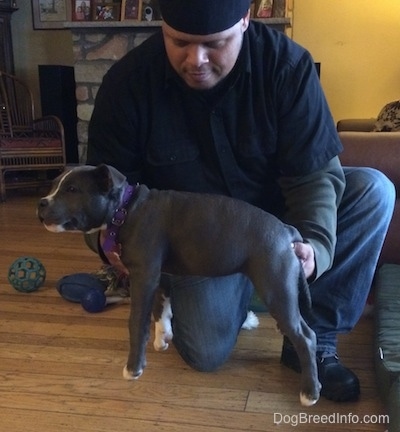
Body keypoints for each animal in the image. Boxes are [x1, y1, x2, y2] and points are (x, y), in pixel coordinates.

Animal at [37, 163, 322, 404]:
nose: (41, 203)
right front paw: (162, 336)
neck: (126, 210)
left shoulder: (143, 276)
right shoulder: (158, 275)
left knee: (306, 337)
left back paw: (309, 392)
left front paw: (134, 367)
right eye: (53, 185)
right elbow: (160, 307)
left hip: (275, 288)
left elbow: (137, 322)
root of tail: (286, 230)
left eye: (72, 190)